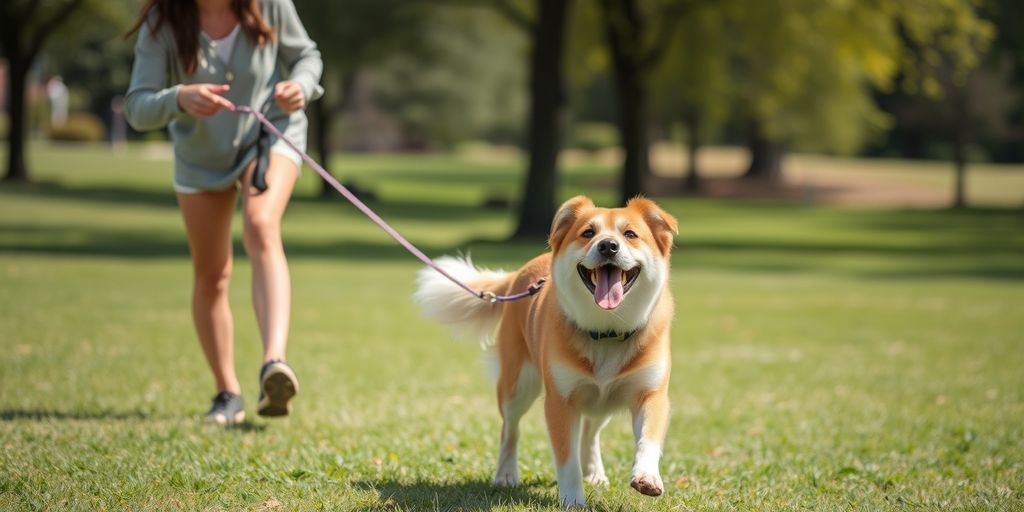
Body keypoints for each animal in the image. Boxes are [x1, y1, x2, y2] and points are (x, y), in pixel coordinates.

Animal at [415, 195, 679, 507]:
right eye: (588, 233)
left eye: (630, 234)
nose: (608, 246)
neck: (606, 331)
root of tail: (518, 274)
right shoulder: (559, 401)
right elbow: (566, 459)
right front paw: (573, 499)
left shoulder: (651, 392)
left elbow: (648, 437)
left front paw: (647, 477)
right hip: (517, 384)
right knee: (510, 430)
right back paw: (505, 475)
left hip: (603, 400)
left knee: (591, 430)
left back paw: (594, 472)